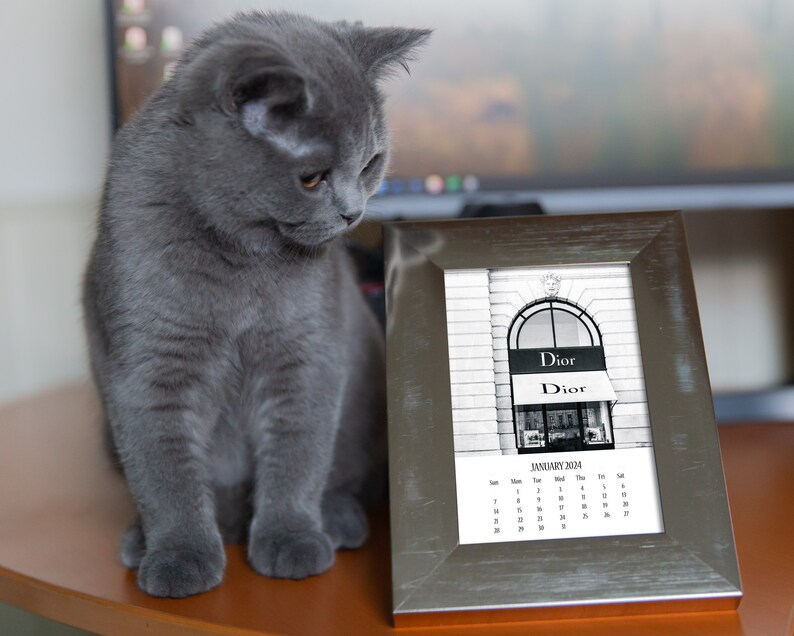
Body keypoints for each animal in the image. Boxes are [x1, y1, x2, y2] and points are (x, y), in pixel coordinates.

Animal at [82, 11, 426, 596]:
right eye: (311, 177)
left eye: (371, 163)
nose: (353, 213)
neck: (242, 259)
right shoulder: (149, 369)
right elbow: (165, 474)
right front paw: (179, 556)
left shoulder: (307, 356)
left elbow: (296, 456)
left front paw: (291, 538)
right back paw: (153, 537)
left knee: (344, 477)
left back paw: (336, 520)